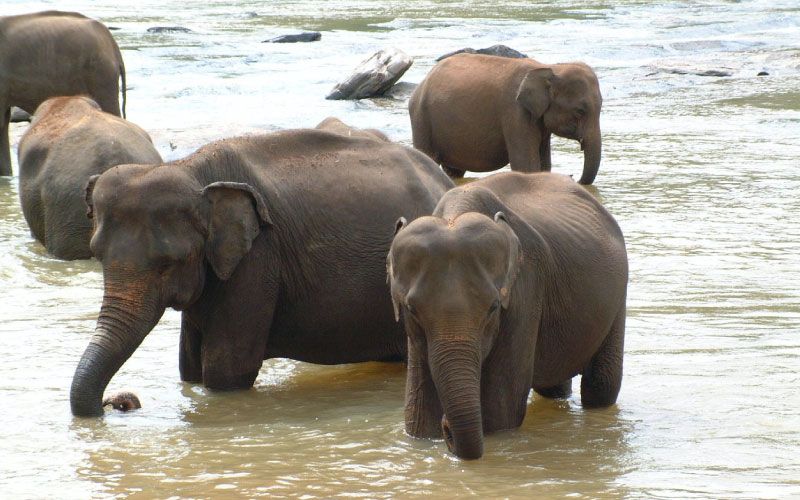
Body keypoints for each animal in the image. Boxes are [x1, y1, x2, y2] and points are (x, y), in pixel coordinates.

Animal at [71, 122, 454, 418]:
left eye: (168, 264)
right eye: (97, 256)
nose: (119, 403)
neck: (191, 170)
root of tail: (445, 182)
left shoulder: (258, 259)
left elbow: (225, 372)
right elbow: (189, 367)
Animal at [390, 171, 632, 458]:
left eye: (493, 307)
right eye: (411, 309)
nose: (447, 428)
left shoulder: (525, 291)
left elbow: (500, 409)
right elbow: (419, 413)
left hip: (618, 297)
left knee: (601, 384)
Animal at [410, 53, 604, 186]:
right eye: (580, 111)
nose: (575, 179)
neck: (550, 67)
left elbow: (544, 164)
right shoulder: (515, 113)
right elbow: (526, 165)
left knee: (454, 170)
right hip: (421, 118)